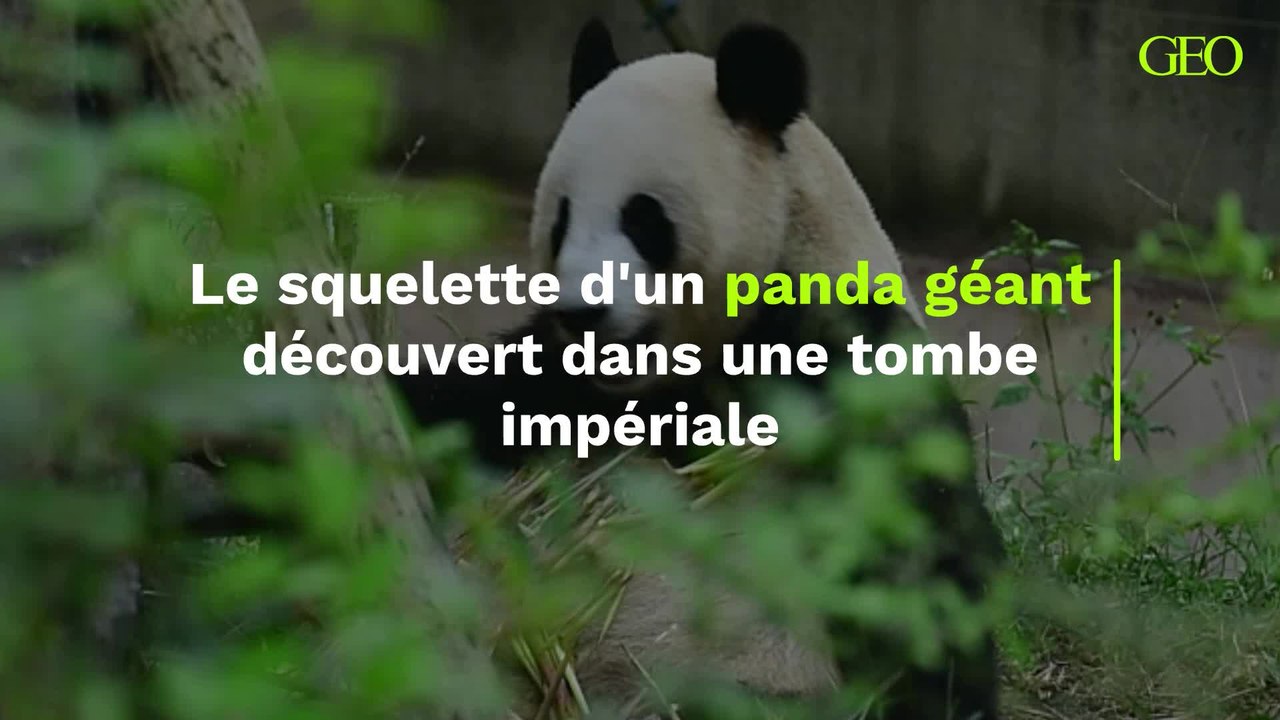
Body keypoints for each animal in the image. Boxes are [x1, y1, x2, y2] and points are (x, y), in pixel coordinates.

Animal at [394, 19, 1005, 720]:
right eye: (561, 218)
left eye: (642, 218)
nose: (582, 310)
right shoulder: (561, 379)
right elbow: (472, 397)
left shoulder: (846, 355)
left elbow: (917, 545)